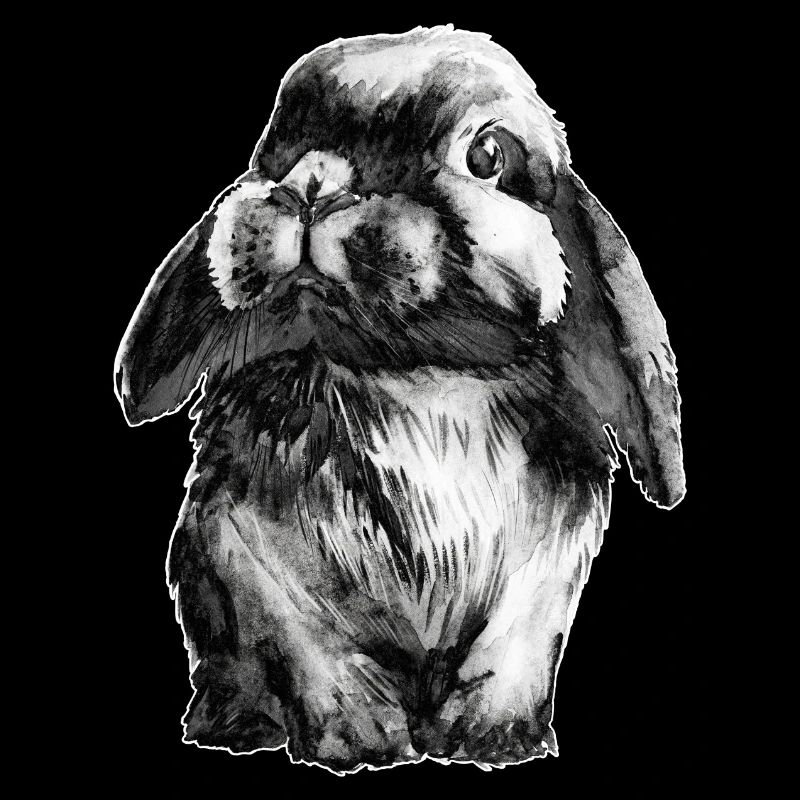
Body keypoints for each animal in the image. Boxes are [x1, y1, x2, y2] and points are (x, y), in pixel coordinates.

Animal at [114, 26, 685, 773]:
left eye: (488, 156)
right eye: (281, 147)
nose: (312, 187)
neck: (415, 379)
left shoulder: (545, 570)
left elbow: (512, 649)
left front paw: (493, 741)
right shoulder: (247, 552)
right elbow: (313, 651)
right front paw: (359, 743)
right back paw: (235, 727)